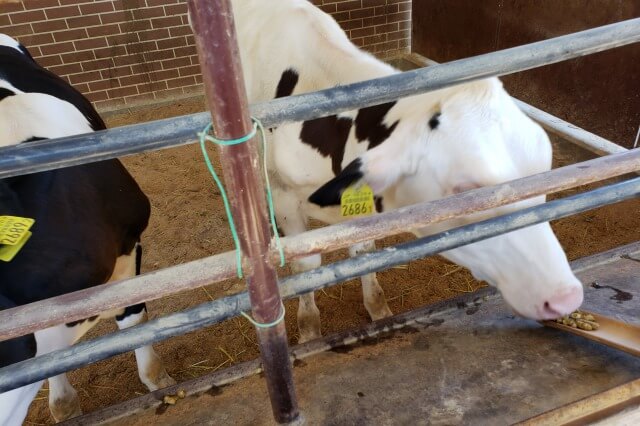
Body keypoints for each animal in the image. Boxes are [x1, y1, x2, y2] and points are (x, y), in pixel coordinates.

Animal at [211, 0, 584, 342]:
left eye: (544, 172)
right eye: (466, 191)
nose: (566, 297)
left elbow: (364, 254)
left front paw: (378, 310)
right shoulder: (284, 196)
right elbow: (308, 267)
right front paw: (309, 332)